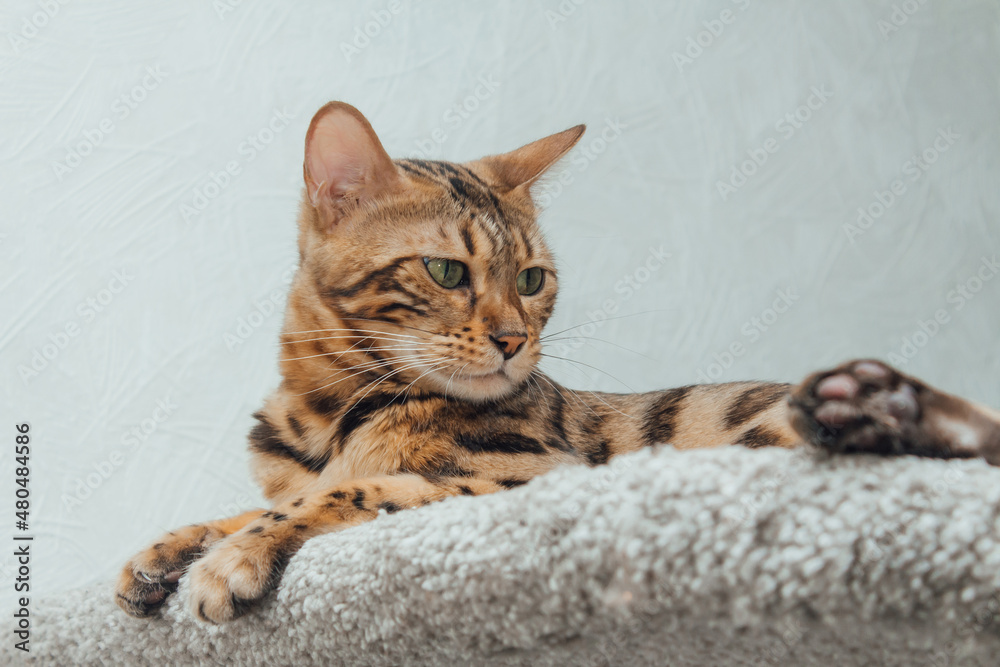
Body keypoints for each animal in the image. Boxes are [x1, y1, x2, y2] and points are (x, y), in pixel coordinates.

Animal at [113, 102, 1000, 624]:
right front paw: (164, 551)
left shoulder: (526, 478)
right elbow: (245, 505)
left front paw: (230, 560)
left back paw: (877, 408)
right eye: (447, 272)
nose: (513, 339)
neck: (328, 416)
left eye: (533, 280)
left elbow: (343, 494)